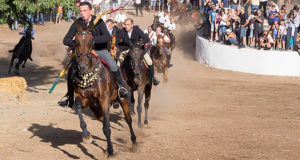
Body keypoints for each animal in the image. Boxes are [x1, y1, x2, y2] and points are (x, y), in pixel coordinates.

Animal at [71, 20, 137, 156]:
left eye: (91, 42)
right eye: (76, 42)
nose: (82, 66)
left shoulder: (104, 100)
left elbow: (107, 128)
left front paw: (110, 151)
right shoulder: (84, 99)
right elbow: (79, 107)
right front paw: (86, 135)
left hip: (123, 100)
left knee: (128, 120)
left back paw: (134, 142)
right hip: (97, 109)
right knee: (103, 121)